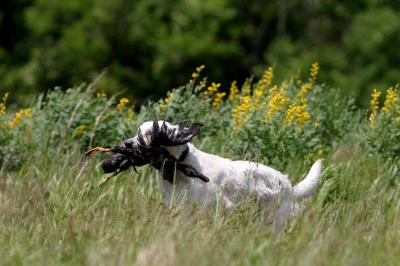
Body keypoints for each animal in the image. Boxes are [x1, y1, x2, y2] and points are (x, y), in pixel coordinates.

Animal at [136, 121, 324, 224]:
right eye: (139, 130)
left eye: (153, 131)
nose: (138, 142)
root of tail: (289, 186)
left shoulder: (211, 203)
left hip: (275, 215)